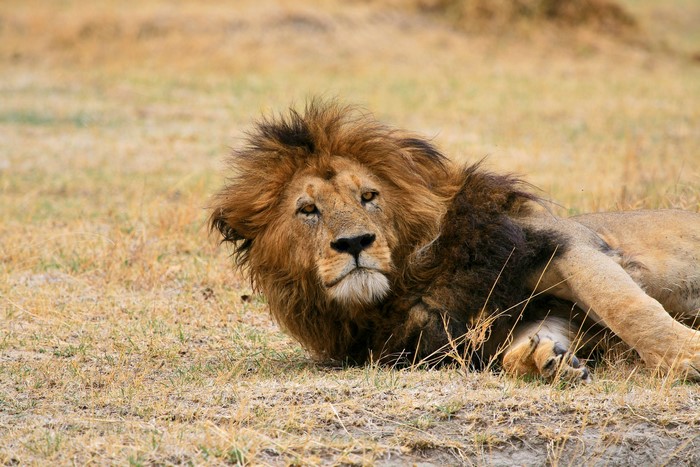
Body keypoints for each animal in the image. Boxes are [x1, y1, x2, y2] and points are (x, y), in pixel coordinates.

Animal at [209, 99, 700, 383]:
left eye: (369, 196)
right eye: (308, 210)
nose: (354, 242)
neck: (409, 282)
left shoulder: (561, 243)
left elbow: (627, 306)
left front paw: (687, 355)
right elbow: (522, 346)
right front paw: (546, 359)